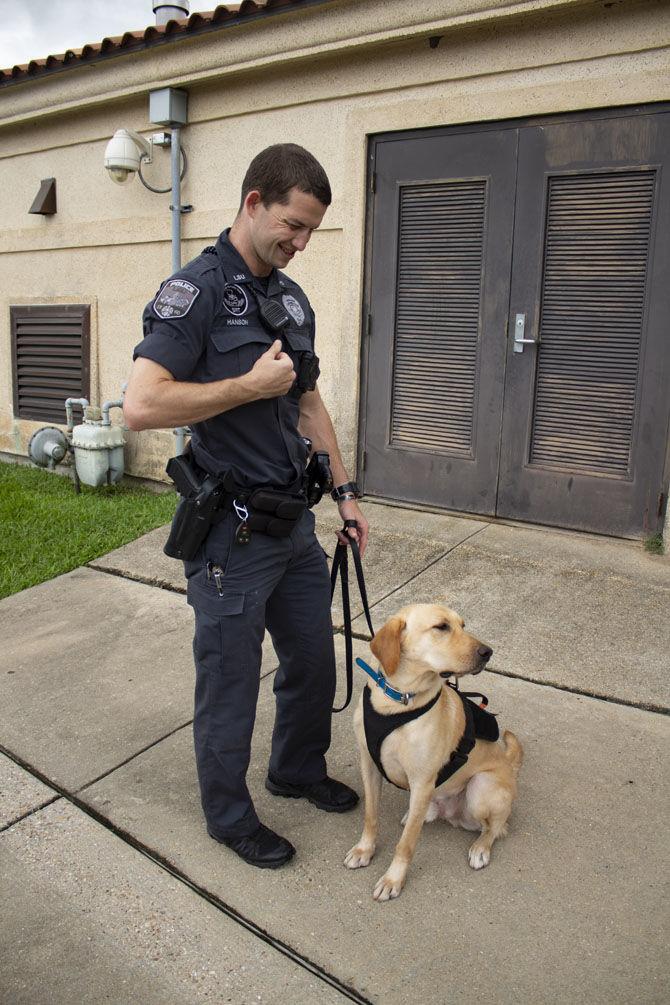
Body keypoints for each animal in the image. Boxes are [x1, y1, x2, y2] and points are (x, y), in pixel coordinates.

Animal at [345, 603, 522, 904]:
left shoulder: (422, 781)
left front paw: (393, 880)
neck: (399, 702)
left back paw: (480, 848)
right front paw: (364, 850)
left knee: (496, 828)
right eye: (441, 627)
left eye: (463, 625)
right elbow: (370, 816)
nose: (488, 652)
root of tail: (509, 766)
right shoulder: (369, 765)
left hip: (480, 787)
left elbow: (405, 844)